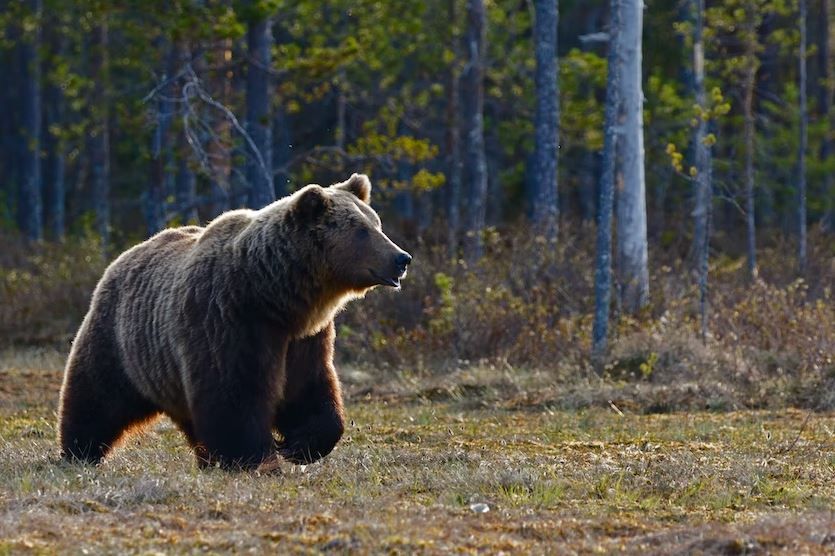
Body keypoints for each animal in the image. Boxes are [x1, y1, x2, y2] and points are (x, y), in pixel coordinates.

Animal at [58, 174, 412, 470]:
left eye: (377, 223)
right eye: (362, 230)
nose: (402, 258)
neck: (275, 296)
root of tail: (123, 256)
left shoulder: (304, 338)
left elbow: (309, 388)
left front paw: (300, 445)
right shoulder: (229, 320)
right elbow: (234, 394)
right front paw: (255, 458)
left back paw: (205, 458)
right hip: (121, 341)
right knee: (96, 396)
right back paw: (79, 451)